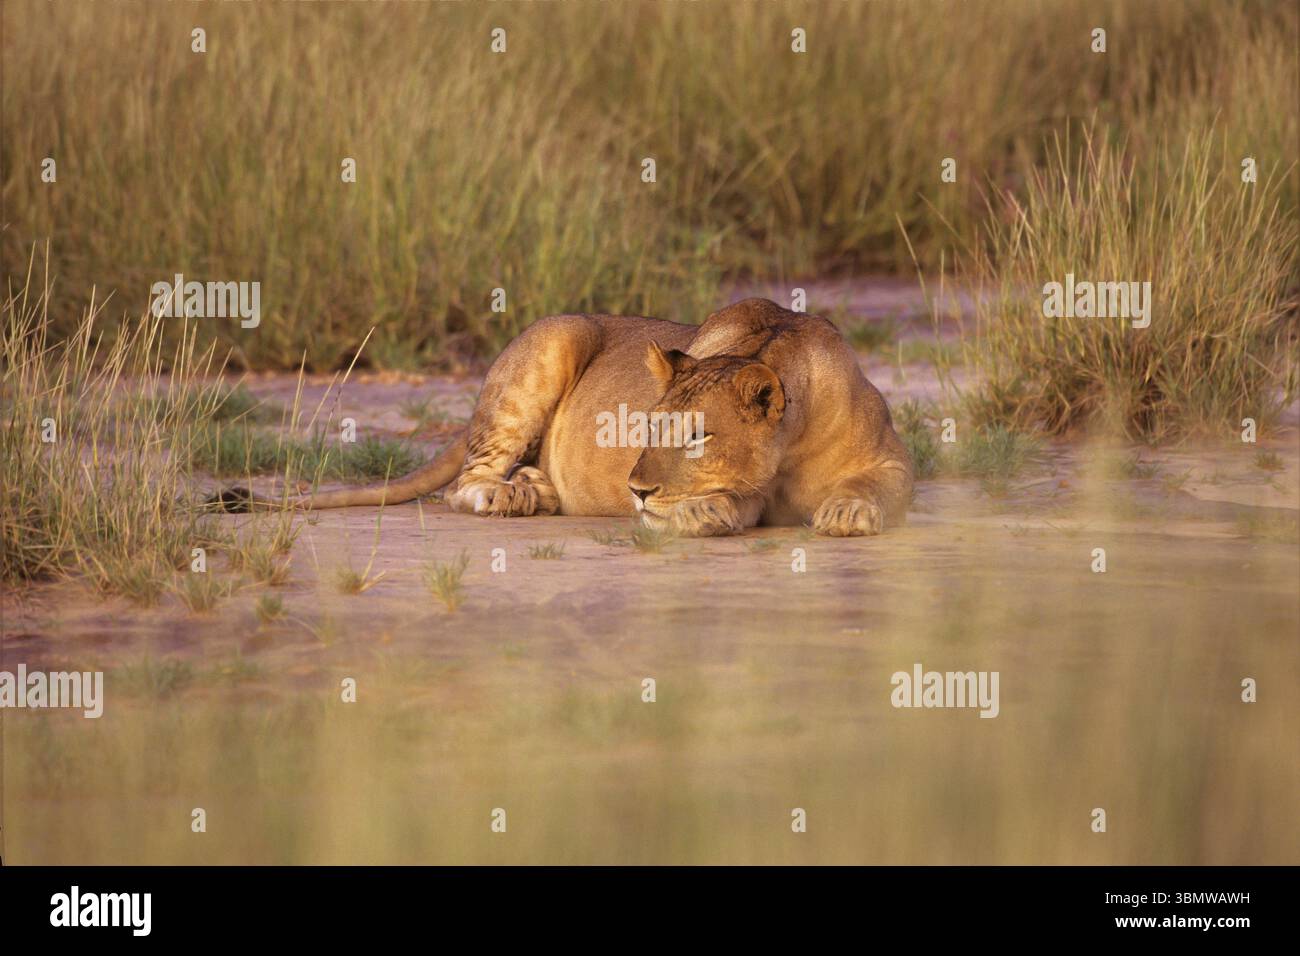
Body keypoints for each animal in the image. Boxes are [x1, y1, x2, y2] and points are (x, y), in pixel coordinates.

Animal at [228, 298, 913, 536]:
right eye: (648, 429)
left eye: (697, 437)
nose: (636, 491)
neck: (787, 449)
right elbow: (736, 501)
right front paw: (701, 511)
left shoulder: (892, 460)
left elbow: (876, 485)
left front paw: (848, 512)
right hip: (554, 341)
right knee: (465, 482)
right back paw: (513, 497)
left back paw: (537, 489)